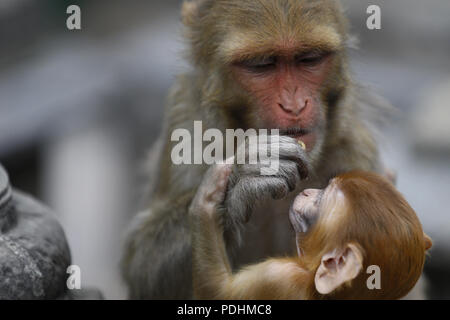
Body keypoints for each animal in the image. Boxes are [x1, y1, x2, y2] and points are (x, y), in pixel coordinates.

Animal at [122, 0, 390, 300]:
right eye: (262, 65)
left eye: (309, 59)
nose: (295, 105)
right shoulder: (186, 118)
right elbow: (140, 266)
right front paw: (242, 181)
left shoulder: (357, 152)